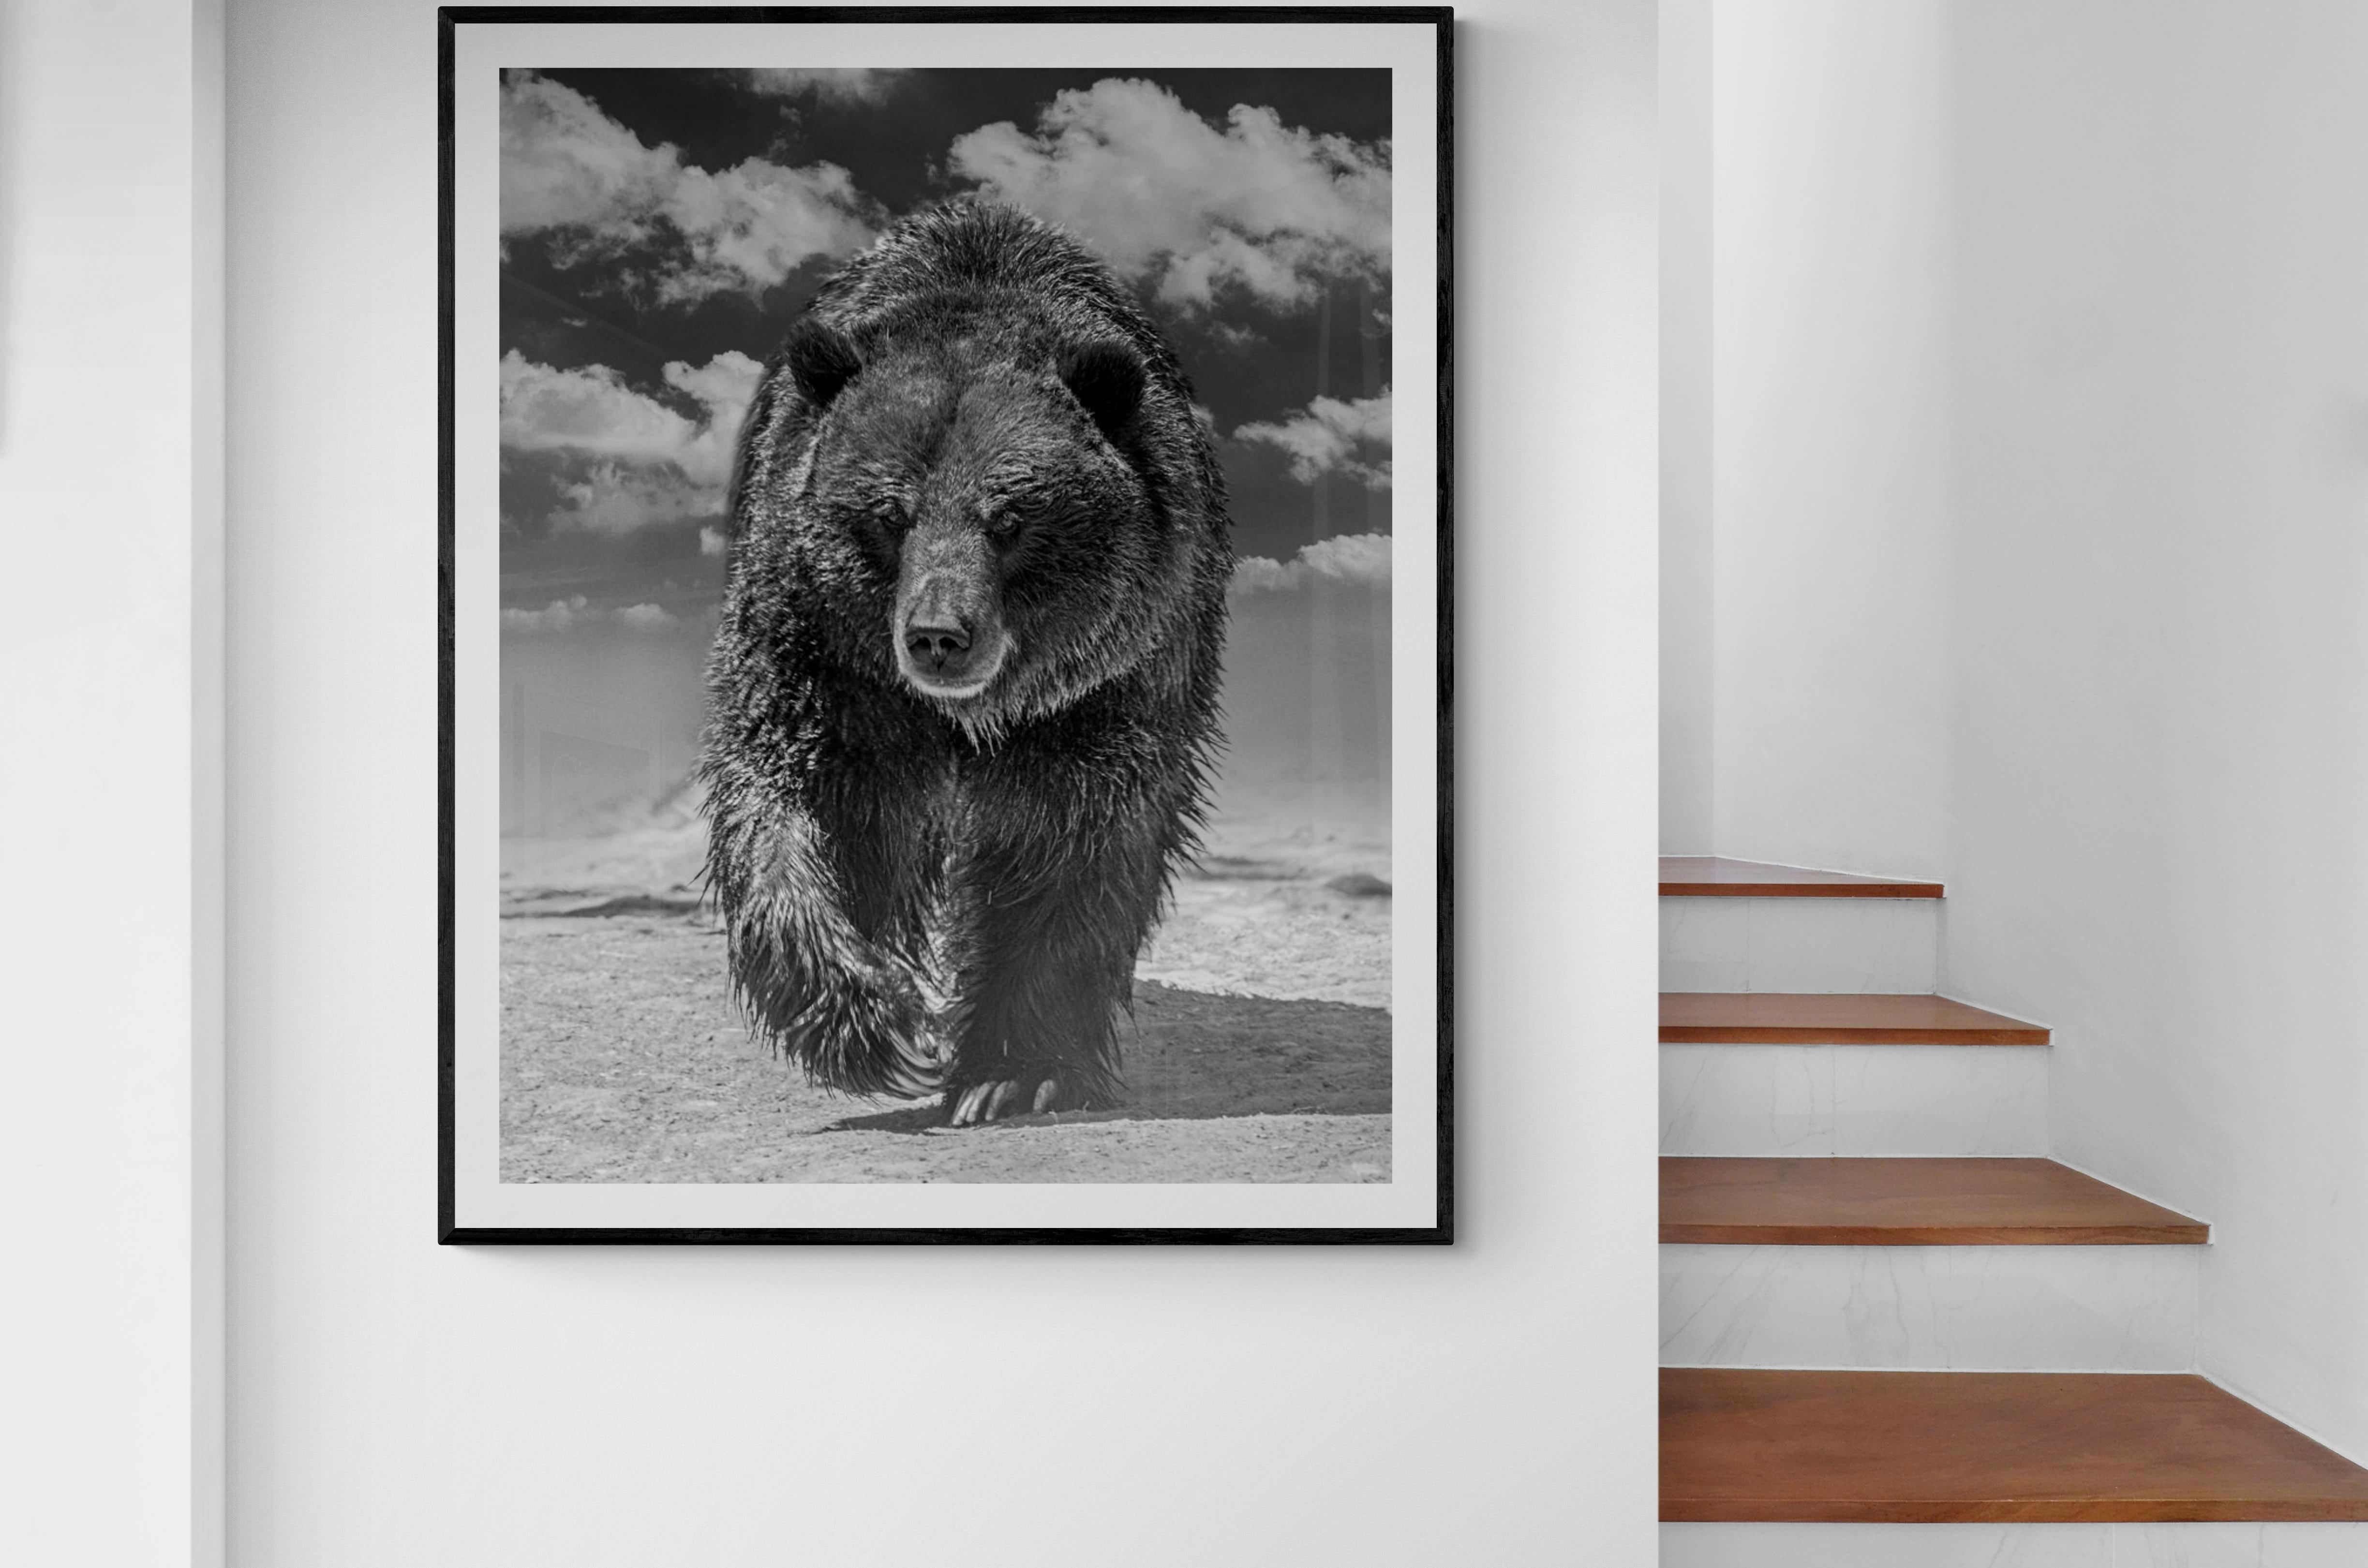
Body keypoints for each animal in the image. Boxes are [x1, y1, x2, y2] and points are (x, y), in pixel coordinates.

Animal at [698, 200, 1234, 1127]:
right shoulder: (828, 663)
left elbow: (1074, 845)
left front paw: (1015, 1069)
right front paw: (877, 1025)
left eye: (1011, 516)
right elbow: (797, 802)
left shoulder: (1109, 687)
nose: (938, 634)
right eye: (889, 513)